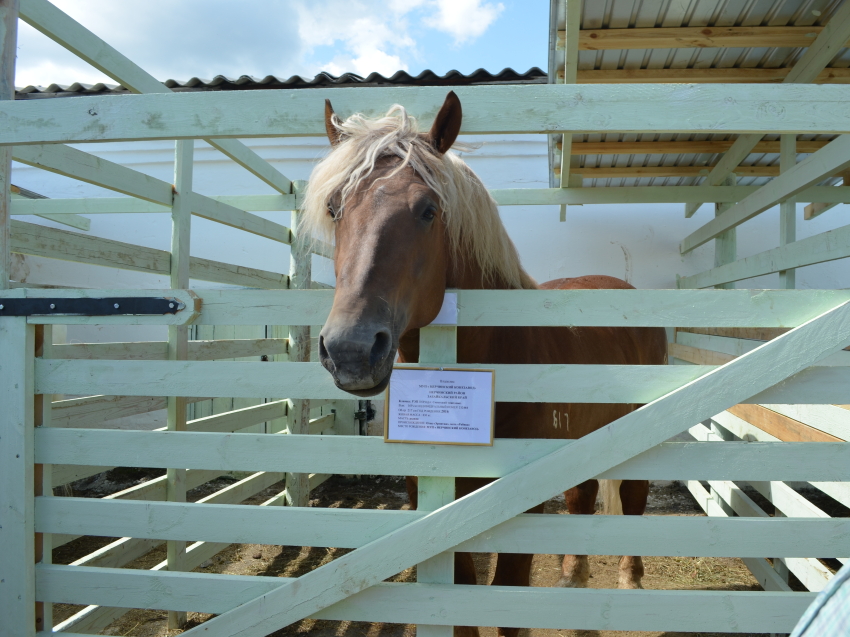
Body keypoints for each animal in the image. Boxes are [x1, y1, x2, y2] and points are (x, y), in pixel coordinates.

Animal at [304, 89, 668, 636]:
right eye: (334, 207)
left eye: (428, 210)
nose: (350, 350)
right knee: (582, 500)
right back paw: (573, 580)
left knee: (634, 499)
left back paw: (631, 581)